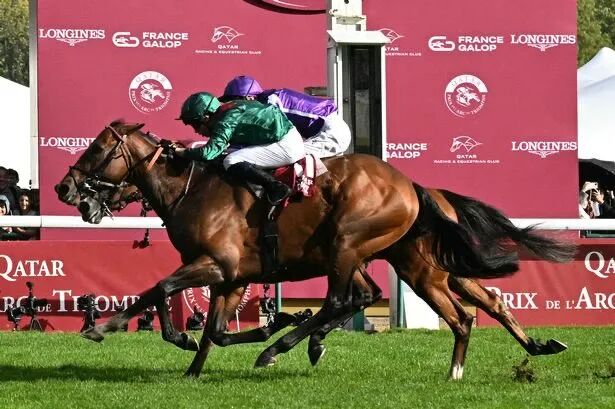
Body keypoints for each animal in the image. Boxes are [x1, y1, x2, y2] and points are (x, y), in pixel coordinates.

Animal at [55, 121, 575, 379]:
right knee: (482, 304)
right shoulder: (232, 276)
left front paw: (109, 328)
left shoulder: (216, 265)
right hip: (420, 264)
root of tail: (412, 186)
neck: (193, 187)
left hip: (360, 248)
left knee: (351, 300)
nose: (65, 188)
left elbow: (160, 288)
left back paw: (286, 346)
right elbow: (212, 331)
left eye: (97, 149)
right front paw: (191, 365)